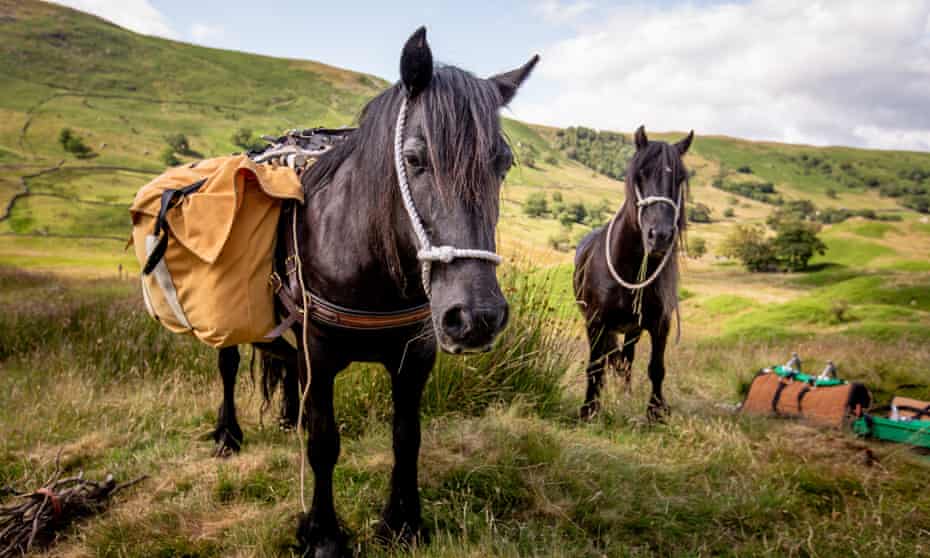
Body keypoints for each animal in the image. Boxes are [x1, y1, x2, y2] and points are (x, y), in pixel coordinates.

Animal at [568, 127, 692, 422]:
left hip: (632, 329)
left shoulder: (660, 325)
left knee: (626, 360)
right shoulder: (595, 323)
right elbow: (595, 366)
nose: (660, 236)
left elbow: (655, 368)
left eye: (680, 178)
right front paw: (589, 409)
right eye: (641, 173)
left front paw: (656, 411)